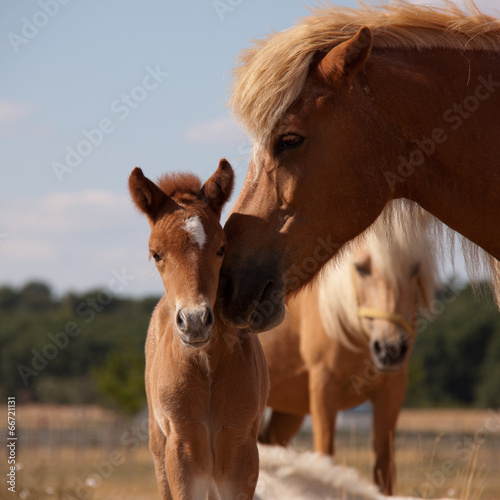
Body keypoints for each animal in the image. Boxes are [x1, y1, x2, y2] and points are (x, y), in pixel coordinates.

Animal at [129, 161, 270, 500]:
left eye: (221, 248)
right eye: (156, 253)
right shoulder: (183, 451)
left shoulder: (241, 452)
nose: (194, 321)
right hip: (160, 447)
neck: (206, 366)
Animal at [258, 204, 434, 496]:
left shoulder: (392, 391)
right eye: (361, 268)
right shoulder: (323, 387)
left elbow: (384, 468)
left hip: (288, 409)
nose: (390, 349)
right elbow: (325, 457)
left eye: (415, 268)